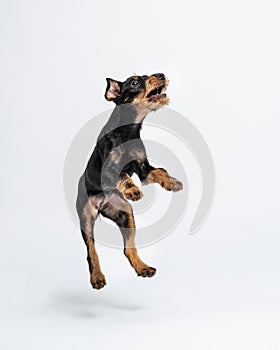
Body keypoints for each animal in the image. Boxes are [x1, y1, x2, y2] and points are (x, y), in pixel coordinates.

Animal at [75, 72, 183, 288]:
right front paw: (133, 190)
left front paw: (172, 182)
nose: (161, 75)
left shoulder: (143, 169)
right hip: (86, 218)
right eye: (134, 82)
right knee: (92, 252)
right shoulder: (108, 171)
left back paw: (143, 268)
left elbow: (160, 172)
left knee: (128, 248)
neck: (128, 132)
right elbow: (122, 175)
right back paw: (97, 277)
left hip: (125, 214)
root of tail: (101, 204)